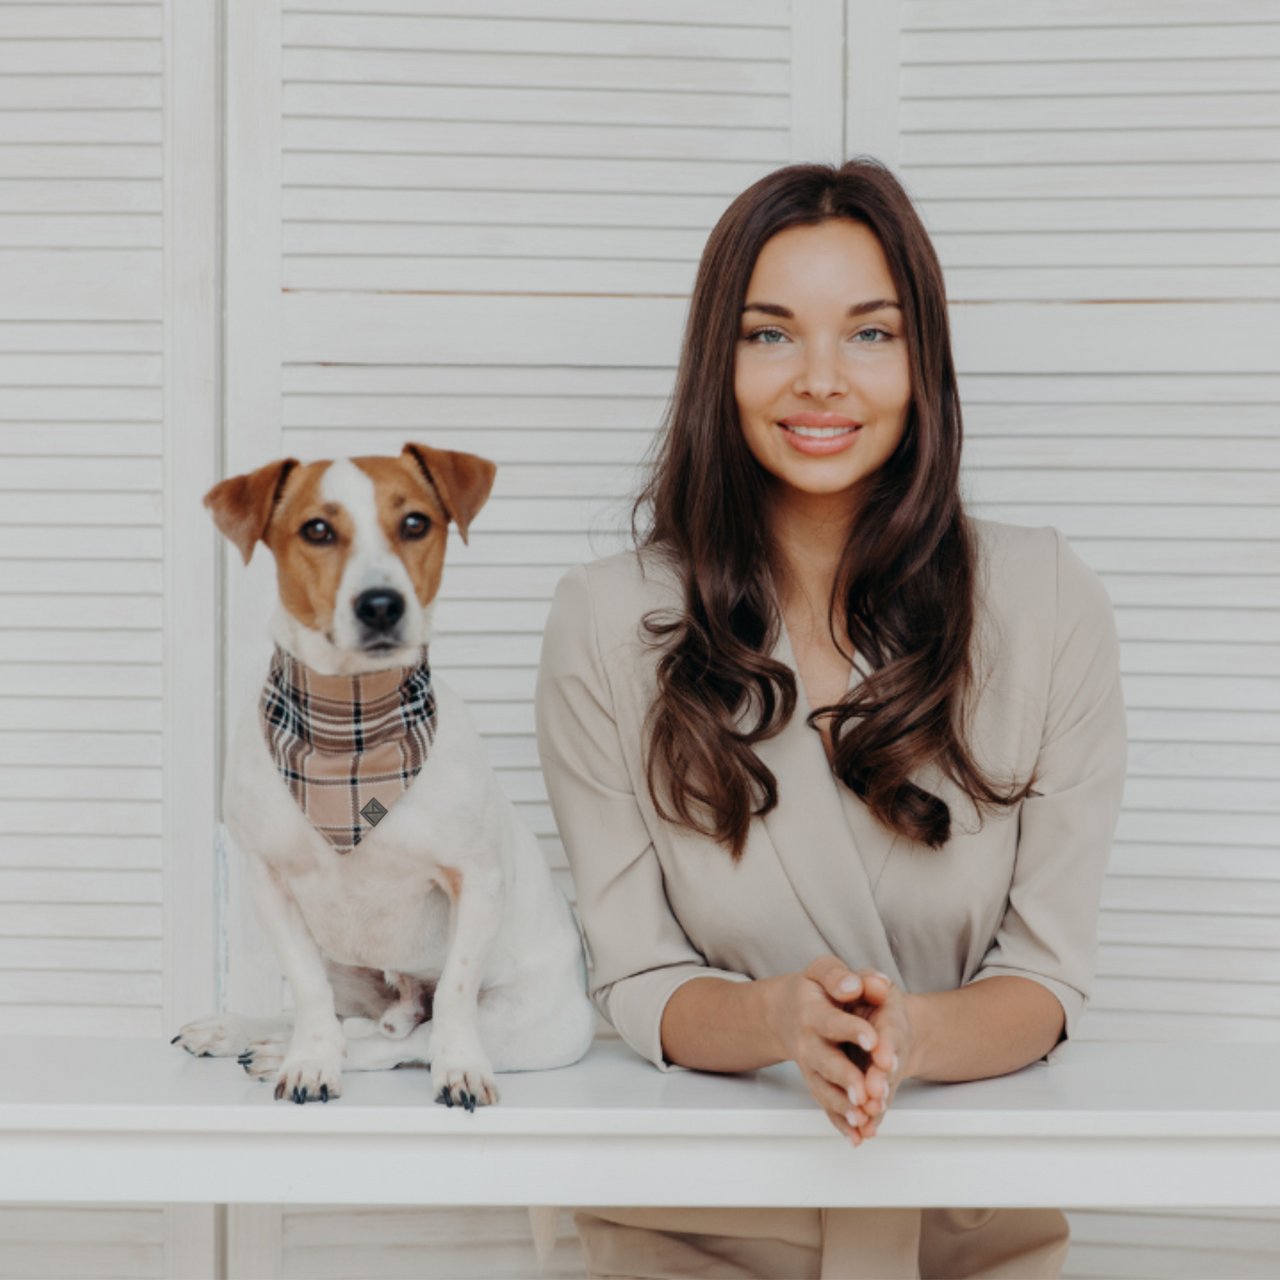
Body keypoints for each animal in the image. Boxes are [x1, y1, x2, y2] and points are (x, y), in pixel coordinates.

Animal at [172, 445, 596, 1105]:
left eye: (416, 523)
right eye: (317, 530)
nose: (380, 604)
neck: (349, 728)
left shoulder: (476, 880)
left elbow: (454, 995)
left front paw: (459, 1070)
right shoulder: (269, 881)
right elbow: (308, 994)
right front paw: (310, 1062)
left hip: (527, 1024)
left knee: (406, 1039)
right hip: (345, 967)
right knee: (338, 1014)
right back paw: (246, 1032)